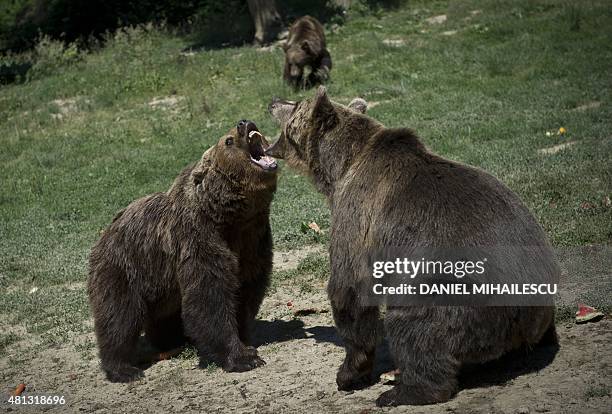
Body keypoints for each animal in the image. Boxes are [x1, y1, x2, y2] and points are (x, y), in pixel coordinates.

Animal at [86, 119, 278, 382]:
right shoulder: (197, 239)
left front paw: (246, 337)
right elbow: (209, 297)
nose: (244, 123)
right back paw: (124, 368)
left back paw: (174, 340)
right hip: (124, 267)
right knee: (119, 316)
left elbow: (246, 291)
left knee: (163, 317)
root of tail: (103, 235)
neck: (230, 218)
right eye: (228, 140)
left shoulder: (253, 244)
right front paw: (243, 356)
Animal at [268, 88, 560, 408]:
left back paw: (401, 392)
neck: (339, 168)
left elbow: (350, 287)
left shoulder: (357, 214)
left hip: (454, 289)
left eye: (295, 103)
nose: (273, 101)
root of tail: (525, 317)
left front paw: (348, 372)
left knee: (414, 326)